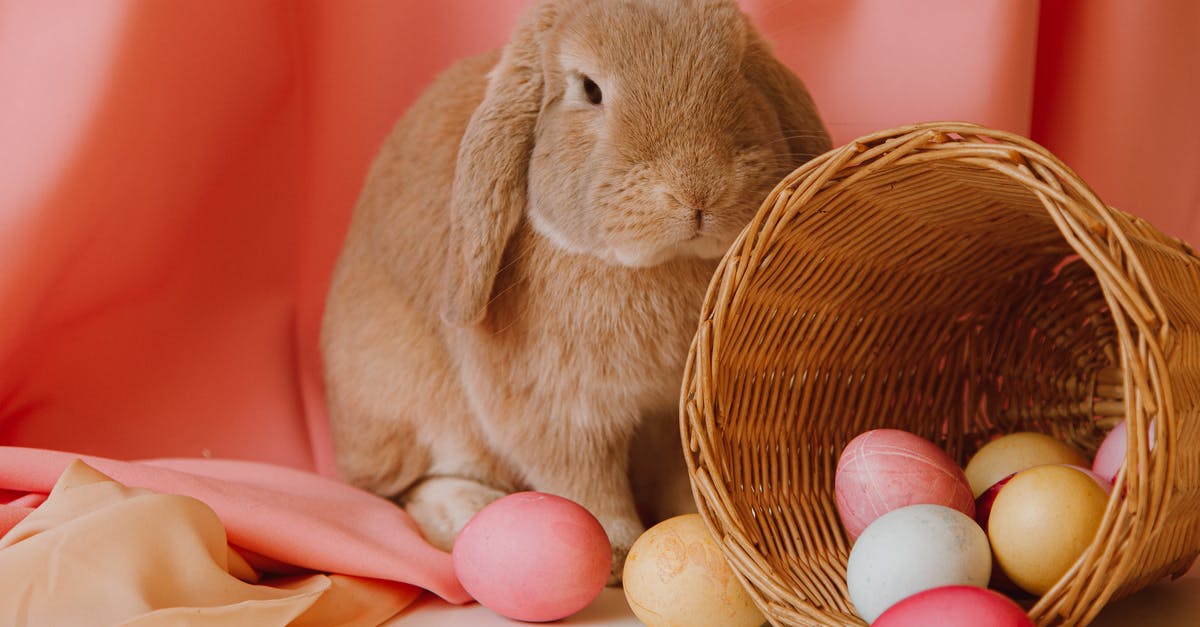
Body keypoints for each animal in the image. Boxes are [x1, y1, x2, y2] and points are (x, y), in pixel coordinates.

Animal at [319, 0, 825, 581]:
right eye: (590, 89)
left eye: (741, 68)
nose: (697, 190)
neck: (657, 264)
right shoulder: (562, 411)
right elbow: (584, 482)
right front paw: (617, 551)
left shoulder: (673, 416)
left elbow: (679, 475)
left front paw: (700, 524)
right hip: (414, 411)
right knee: (411, 487)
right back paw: (469, 513)